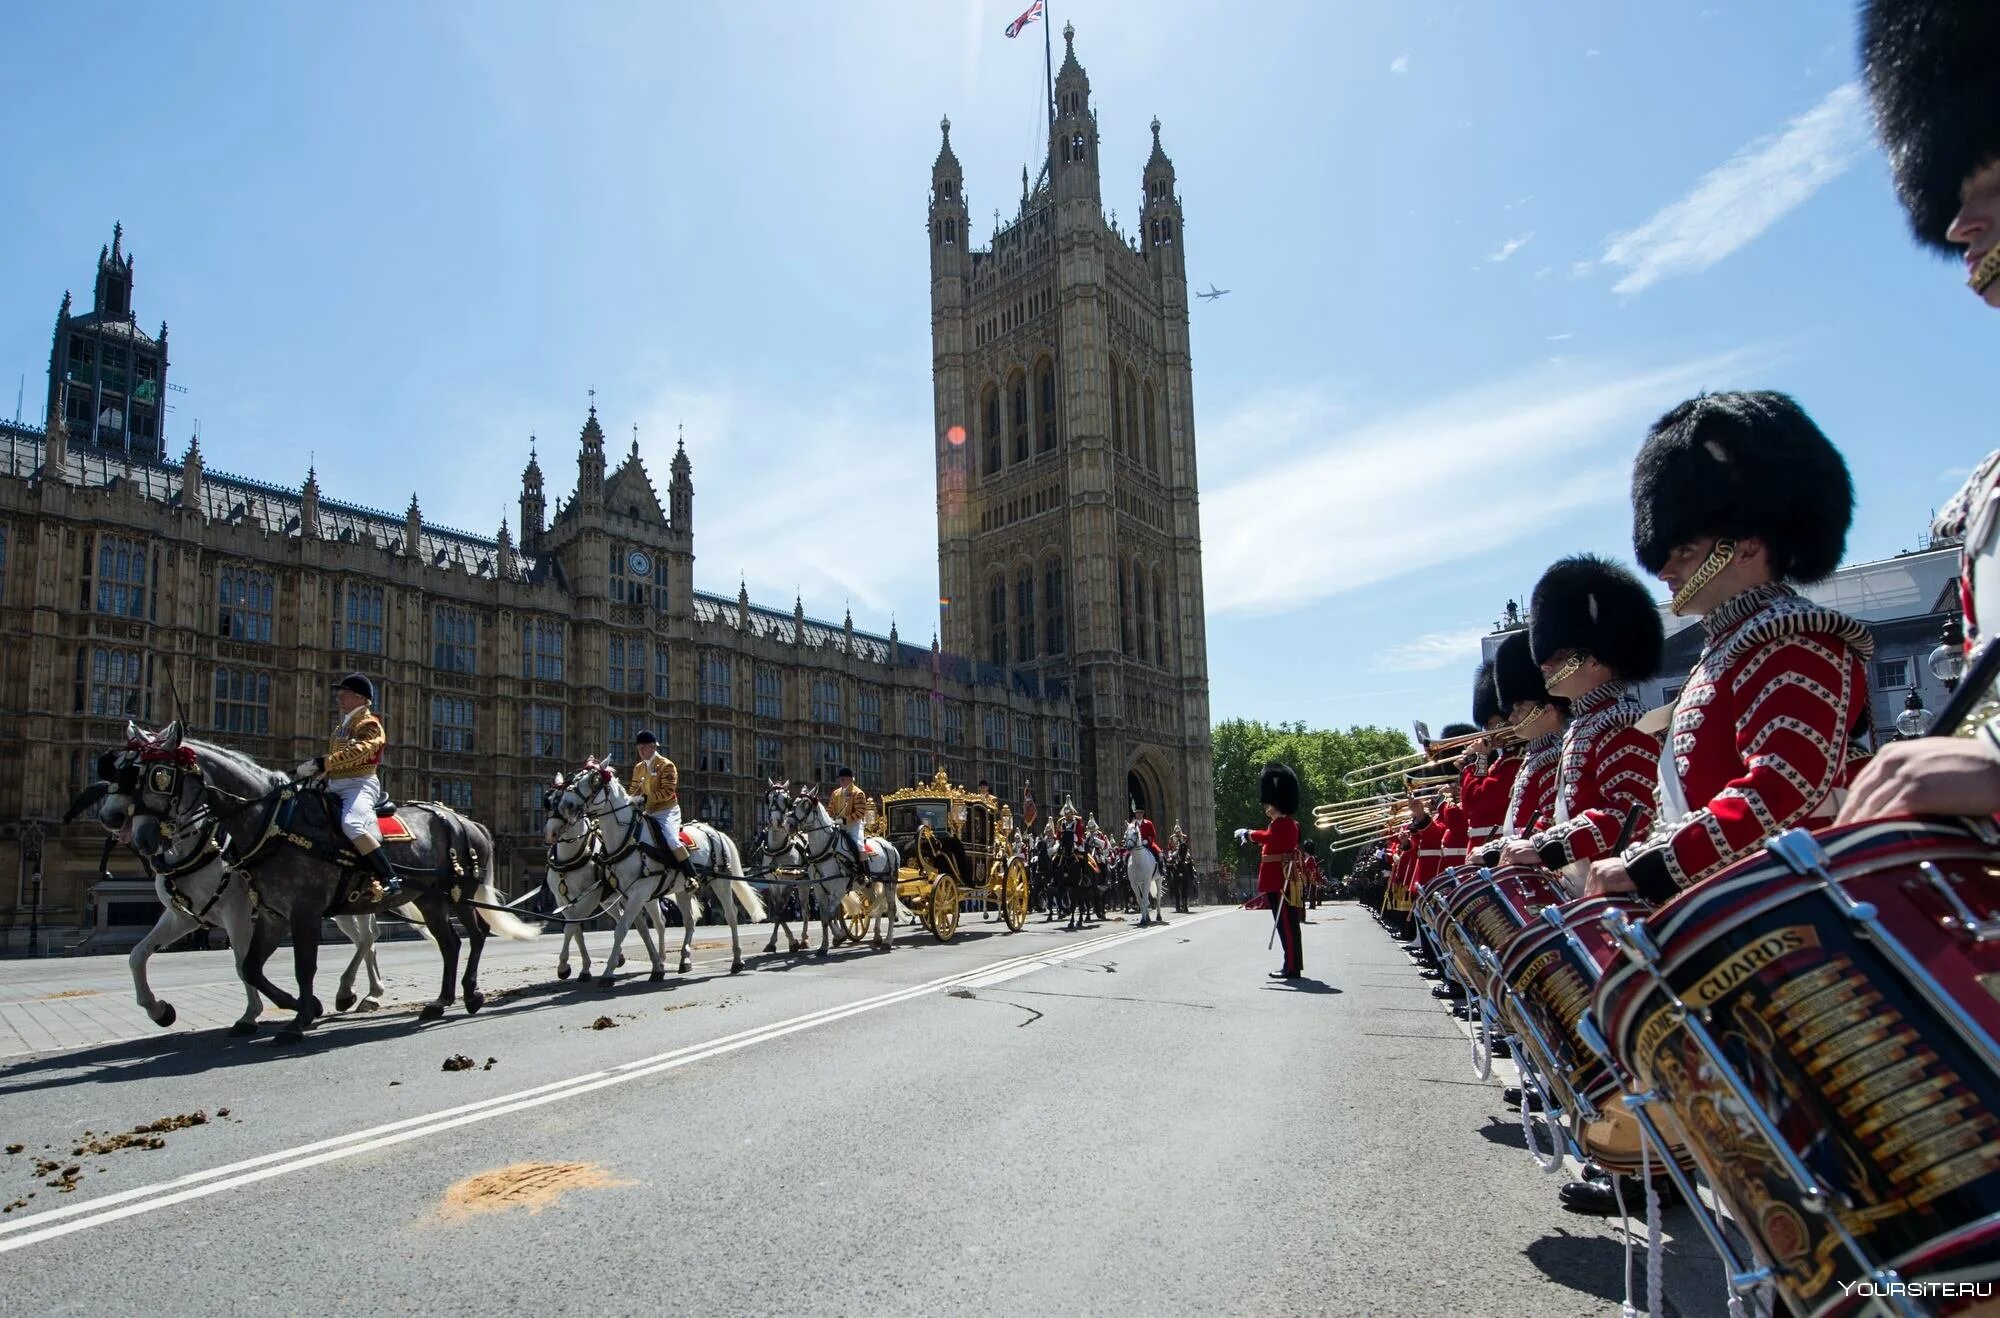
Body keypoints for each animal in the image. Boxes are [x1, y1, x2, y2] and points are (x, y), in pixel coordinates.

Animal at [105, 720, 536, 1040]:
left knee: (473, 935)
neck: (271, 822)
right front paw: (300, 1007)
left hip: (458, 892)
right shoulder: (263, 912)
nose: (138, 837)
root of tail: (463, 819)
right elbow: (247, 966)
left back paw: (466, 994)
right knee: (445, 943)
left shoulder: (293, 910)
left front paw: (292, 1019)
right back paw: (435, 1001)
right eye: (121, 774)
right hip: (426, 898)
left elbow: (300, 966)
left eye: (158, 776)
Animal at [548, 764, 764, 992]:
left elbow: (617, 929)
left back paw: (737, 961)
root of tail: (713, 830)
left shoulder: (623, 893)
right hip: (681, 888)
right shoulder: (621, 894)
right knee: (687, 920)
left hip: (721, 881)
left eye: (594, 780)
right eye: (549, 799)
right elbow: (625, 928)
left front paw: (605, 973)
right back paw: (683, 960)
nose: (567, 806)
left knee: (731, 915)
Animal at [768, 784, 904, 960]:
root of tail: (888, 844)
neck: (826, 849)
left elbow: (829, 915)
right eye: (792, 803)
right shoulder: (819, 889)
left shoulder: (838, 889)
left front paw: (835, 939)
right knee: (876, 906)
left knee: (890, 908)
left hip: (889, 881)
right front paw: (827, 944)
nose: (788, 825)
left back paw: (887, 941)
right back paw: (876, 937)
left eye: (806, 804)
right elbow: (825, 918)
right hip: (867, 885)